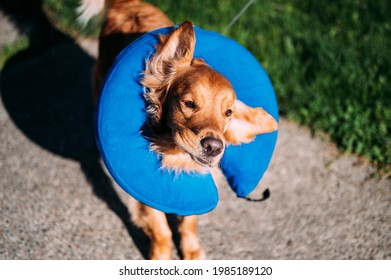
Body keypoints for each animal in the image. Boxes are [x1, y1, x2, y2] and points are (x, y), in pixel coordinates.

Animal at [78, 0, 278, 260]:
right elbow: (159, 225)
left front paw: (192, 251)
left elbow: (188, 221)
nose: (214, 147)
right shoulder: (146, 186)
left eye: (228, 113)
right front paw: (161, 255)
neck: (174, 153)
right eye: (189, 103)